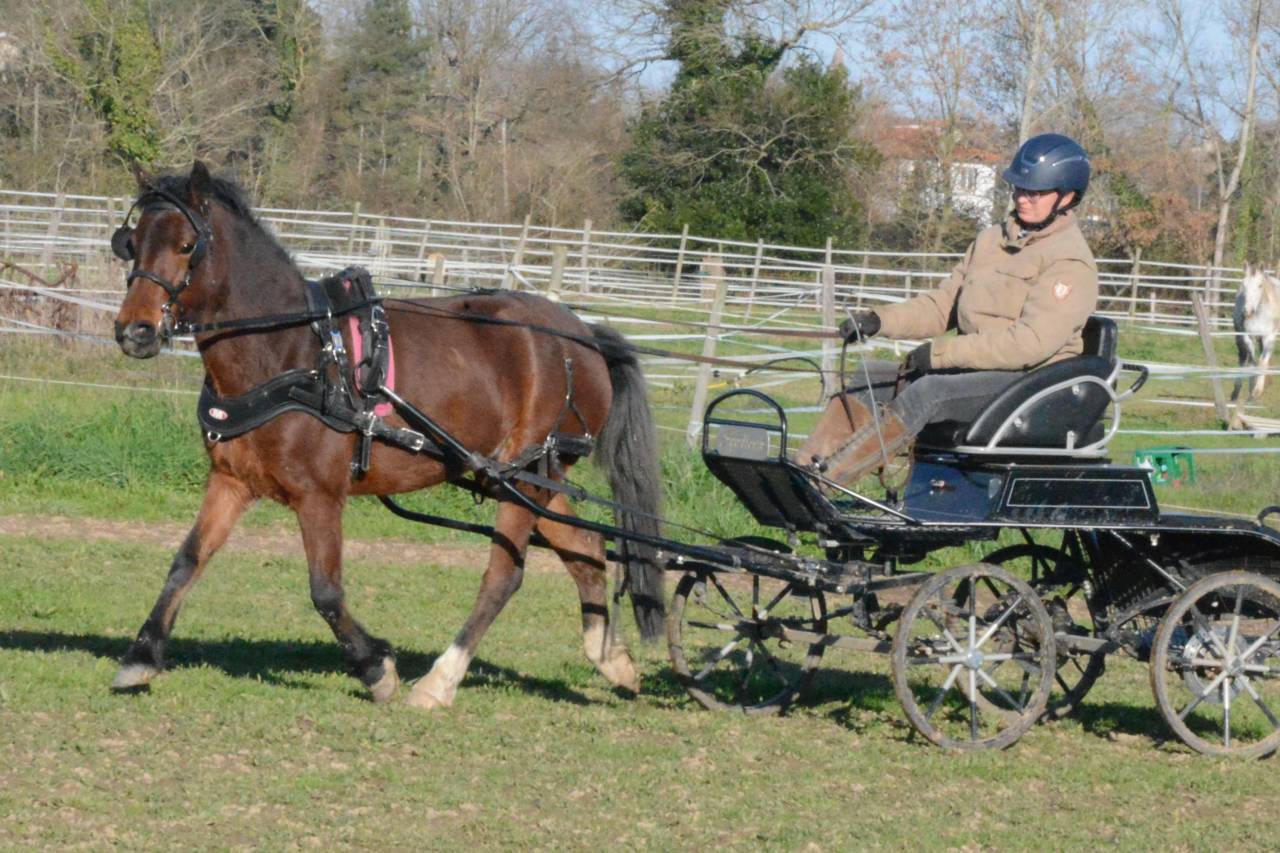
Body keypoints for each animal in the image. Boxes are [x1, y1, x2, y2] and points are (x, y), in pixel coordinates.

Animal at [110, 161, 664, 708]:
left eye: (187, 245)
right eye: (131, 242)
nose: (134, 331)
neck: (295, 352)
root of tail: (584, 336)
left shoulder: (319, 495)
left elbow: (325, 589)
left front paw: (375, 668)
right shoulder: (231, 480)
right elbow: (187, 561)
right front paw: (141, 656)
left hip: (523, 477)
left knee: (504, 575)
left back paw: (441, 681)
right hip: (523, 479)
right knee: (586, 548)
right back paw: (611, 659)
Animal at [1232, 263, 1280, 402]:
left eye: (1260, 285)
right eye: (1244, 284)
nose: (1247, 311)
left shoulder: (1269, 337)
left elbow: (1262, 362)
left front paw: (1257, 391)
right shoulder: (1247, 337)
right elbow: (1253, 362)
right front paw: (1252, 390)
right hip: (1239, 336)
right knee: (1243, 358)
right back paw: (1236, 393)